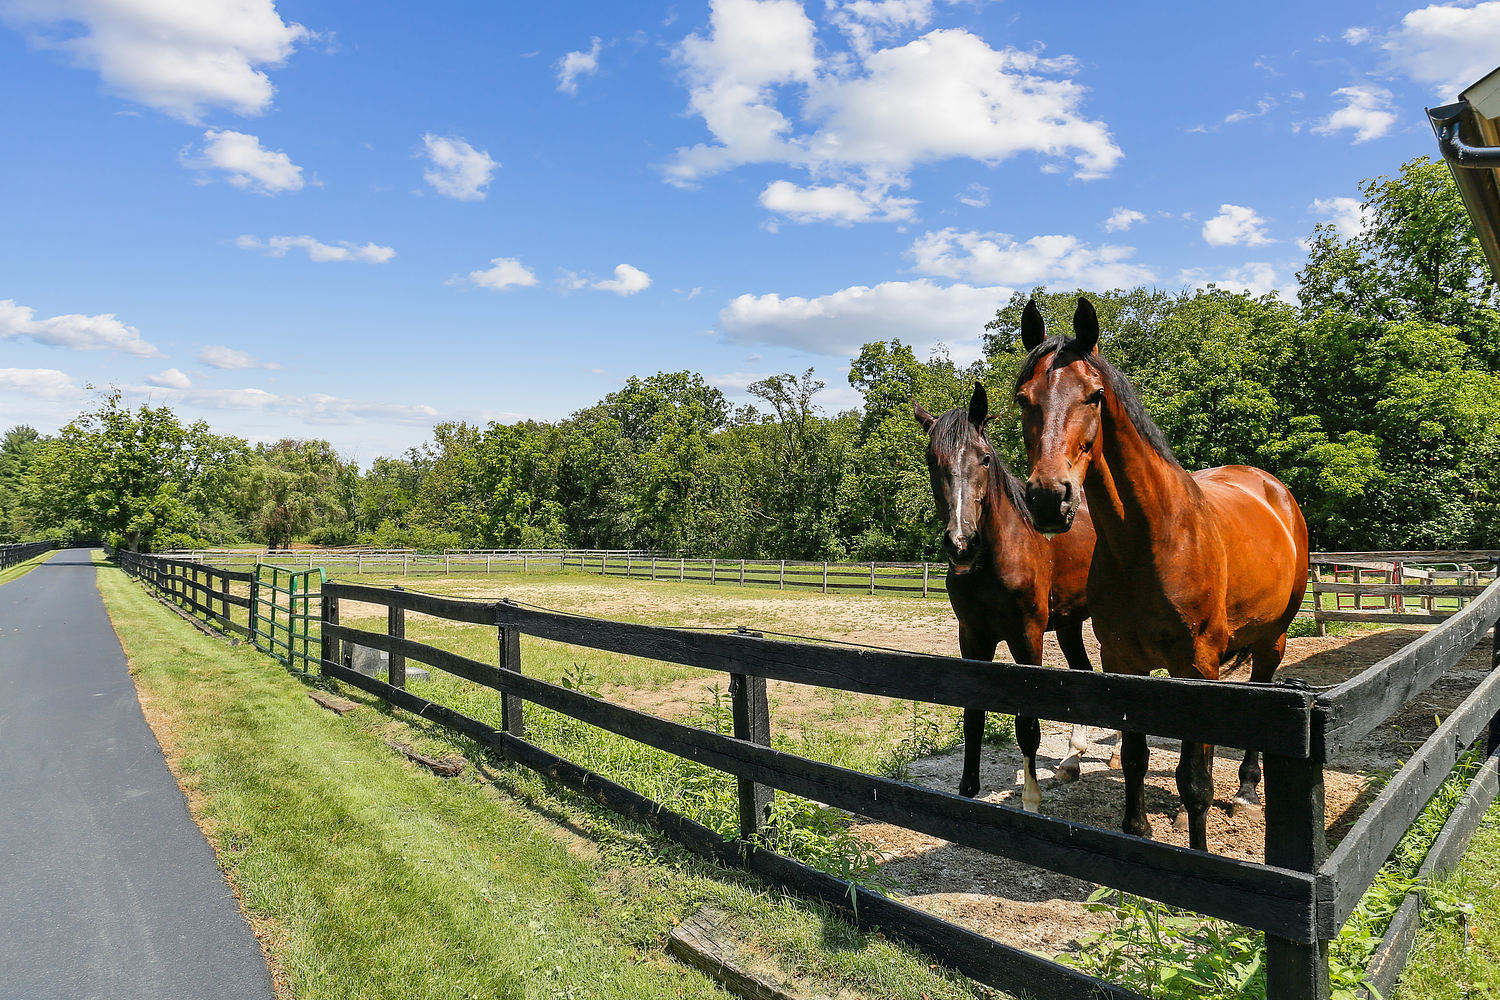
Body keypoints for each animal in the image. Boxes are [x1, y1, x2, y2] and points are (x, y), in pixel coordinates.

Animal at [912, 302, 1104, 803]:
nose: (961, 543)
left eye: (982, 457)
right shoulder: (973, 637)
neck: (996, 558)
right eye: (932, 461)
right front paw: (967, 786)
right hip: (1070, 623)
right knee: (1082, 672)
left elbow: (1028, 723)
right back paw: (1072, 760)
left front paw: (1031, 798)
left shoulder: (1027, 637)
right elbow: (973, 716)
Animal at [1014, 296, 1308, 851]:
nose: (1048, 498)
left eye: (1094, 396)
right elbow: (1134, 756)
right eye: (1024, 399)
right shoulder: (1124, 665)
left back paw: (1246, 793)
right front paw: (1139, 829)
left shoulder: (1196, 668)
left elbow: (1194, 778)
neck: (1151, 541)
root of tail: (1271, 488)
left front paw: (1198, 849)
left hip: (1272, 640)